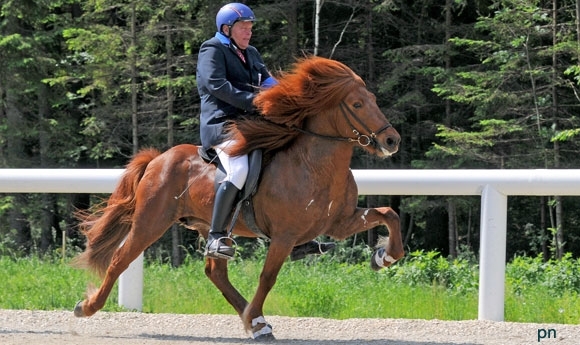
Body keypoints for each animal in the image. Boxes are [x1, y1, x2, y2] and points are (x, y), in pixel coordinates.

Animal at [72, 55, 406, 338]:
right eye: (357, 104)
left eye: (373, 100)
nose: (392, 140)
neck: (315, 166)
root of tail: (158, 159)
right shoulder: (284, 236)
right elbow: (268, 277)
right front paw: (255, 316)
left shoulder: (340, 222)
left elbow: (389, 215)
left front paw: (384, 256)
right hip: (150, 222)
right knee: (120, 259)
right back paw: (87, 307)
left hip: (208, 226)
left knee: (215, 272)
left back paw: (255, 321)